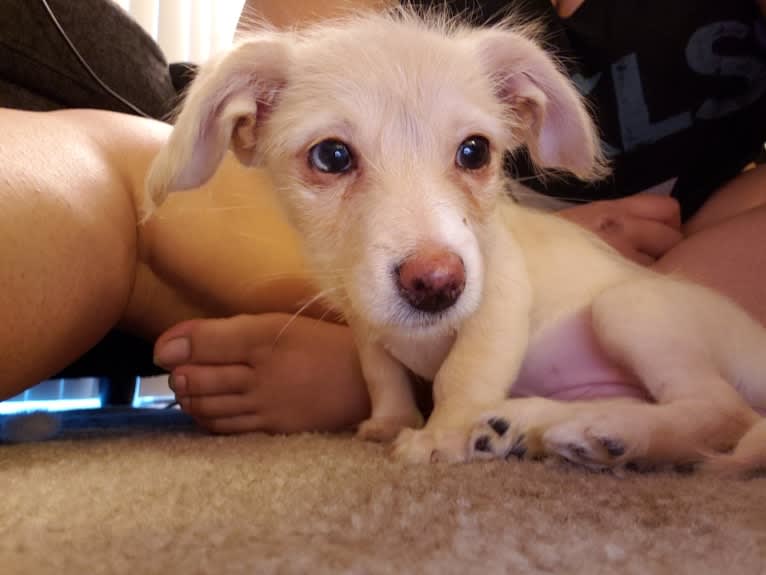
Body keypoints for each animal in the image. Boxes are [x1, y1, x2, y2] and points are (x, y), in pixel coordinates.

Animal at [146, 11, 766, 474]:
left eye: (475, 151)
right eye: (331, 156)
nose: (436, 284)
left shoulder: (499, 295)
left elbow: (461, 374)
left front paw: (438, 437)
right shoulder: (363, 317)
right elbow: (381, 372)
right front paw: (392, 421)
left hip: (628, 307)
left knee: (721, 412)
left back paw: (608, 432)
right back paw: (530, 425)